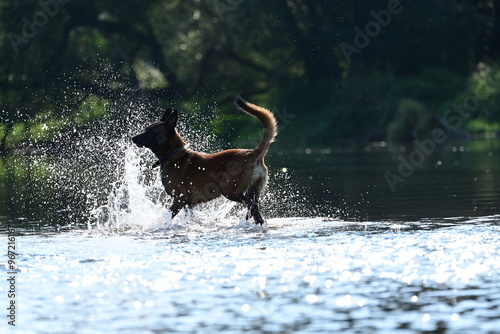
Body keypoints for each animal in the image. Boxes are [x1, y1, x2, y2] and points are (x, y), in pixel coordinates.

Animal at [131, 96, 278, 224]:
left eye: (151, 131)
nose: (133, 138)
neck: (173, 154)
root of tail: (253, 152)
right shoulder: (188, 204)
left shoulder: (179, 200)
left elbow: (167, 216)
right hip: (252, 192)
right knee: (256, 213)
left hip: (231, 192)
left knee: (251, 206)